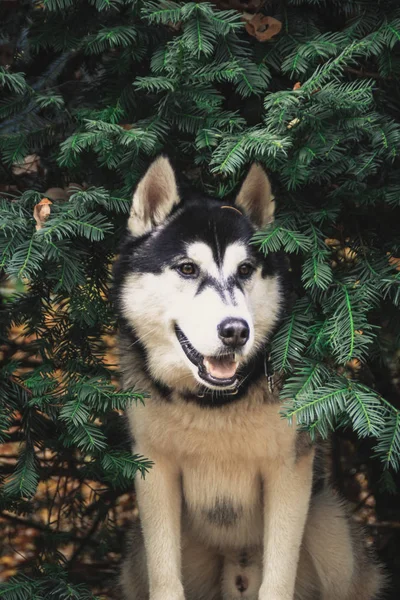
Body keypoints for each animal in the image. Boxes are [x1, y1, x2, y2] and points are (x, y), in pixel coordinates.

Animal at [113, 157, 384, 596]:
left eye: (245, 270)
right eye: (187, 268)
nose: (236, 330)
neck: (215, 405)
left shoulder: (289, 472)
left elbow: (277, 581)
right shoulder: (154, 472)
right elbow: (165, 580)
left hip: (331, 527)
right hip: (138, 557)